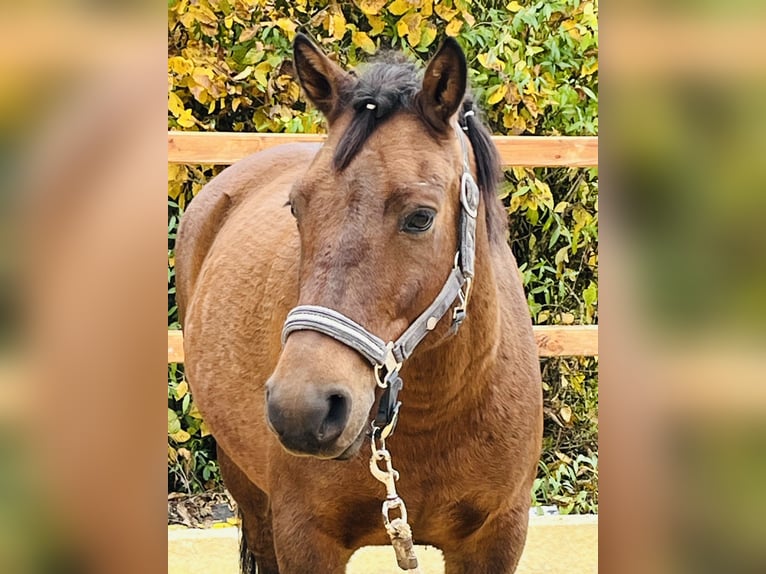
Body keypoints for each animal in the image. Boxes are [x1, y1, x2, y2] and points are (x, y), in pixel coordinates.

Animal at [176, 36, 544, 574]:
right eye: (297, 207)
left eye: (420, 217)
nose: (302, 410)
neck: (439, 412)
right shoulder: (305, 539)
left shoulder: (496, 539)